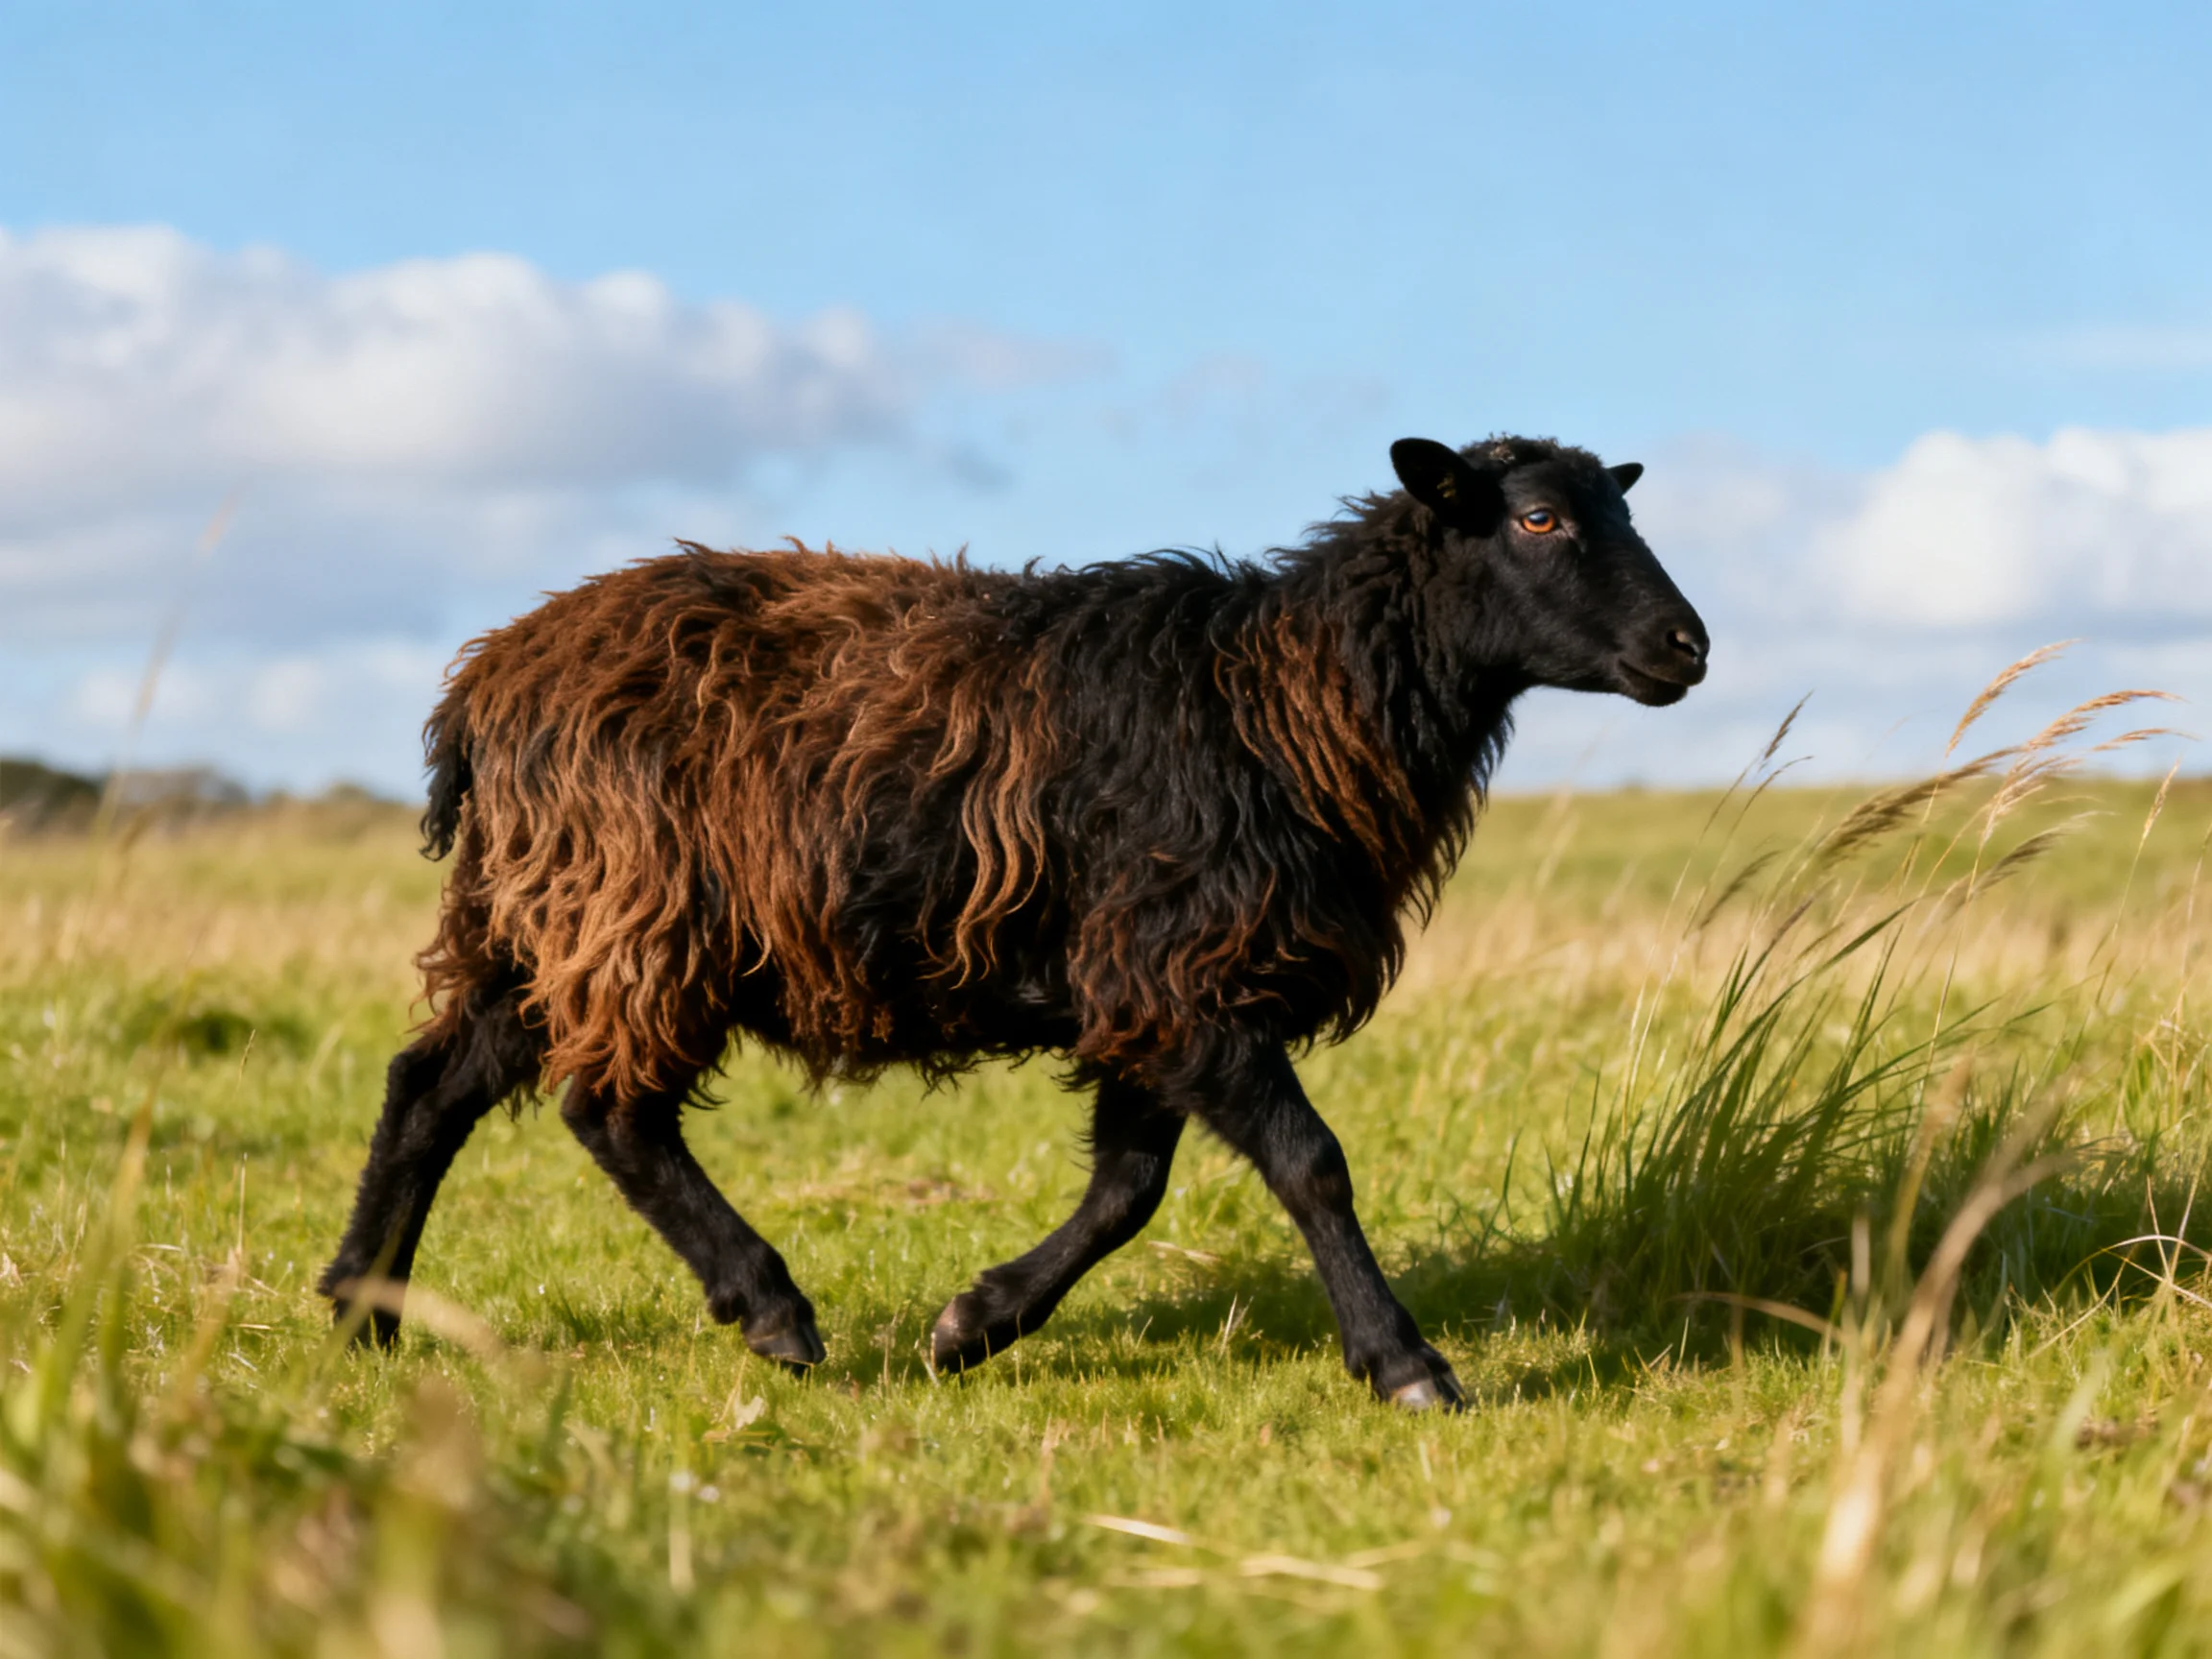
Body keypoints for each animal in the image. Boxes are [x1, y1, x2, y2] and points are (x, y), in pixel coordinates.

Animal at [320, 434, 1708, 1409]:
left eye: (1622, 511)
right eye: (1538, 518)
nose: (1687, 647)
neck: (1290, 699)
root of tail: (487, 681)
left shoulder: (1151, 980)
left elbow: (1128, 1192)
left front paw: (973, 1325)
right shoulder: (1179, 970)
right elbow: (1311, 1164)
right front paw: (1408, 1365)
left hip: (540, 917)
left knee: (431, 1086)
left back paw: (362, 1309)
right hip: (637, 906)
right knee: (608, 1109)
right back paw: (767, 1306)